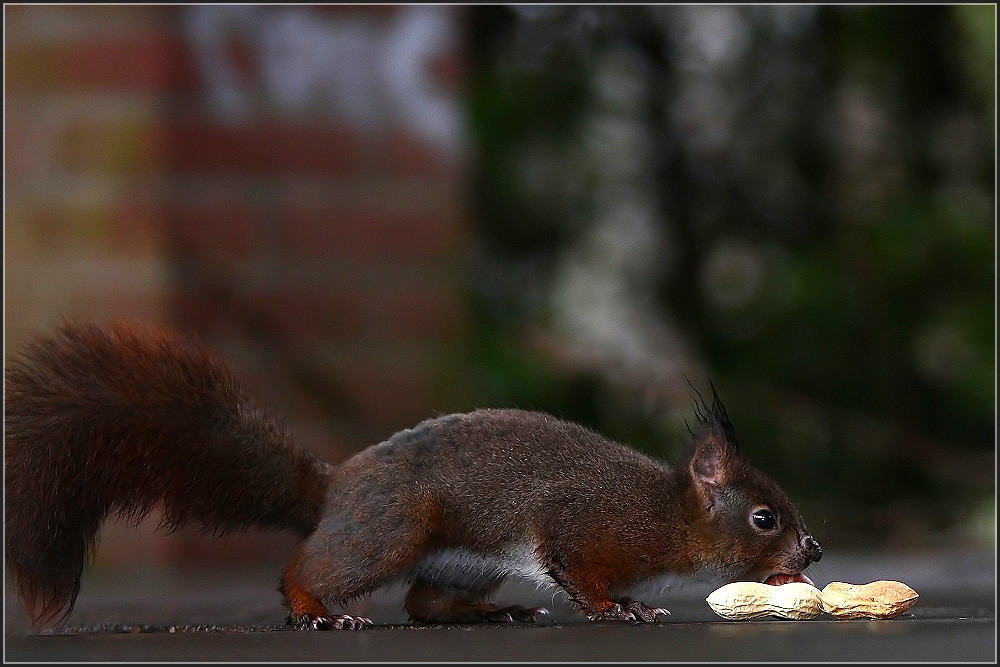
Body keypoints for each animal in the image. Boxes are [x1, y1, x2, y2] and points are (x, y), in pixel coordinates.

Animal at [5, 320, 820, 628]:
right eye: (763, 518)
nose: (812, 551)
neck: (667, 516)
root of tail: (336, 486)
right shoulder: (586, 522)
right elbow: (580, 571)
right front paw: (619, 607)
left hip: (463, 561)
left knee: (427, 604)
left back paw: (494, 614)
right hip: (394, 527)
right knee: (312, 572)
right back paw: (318, 610)